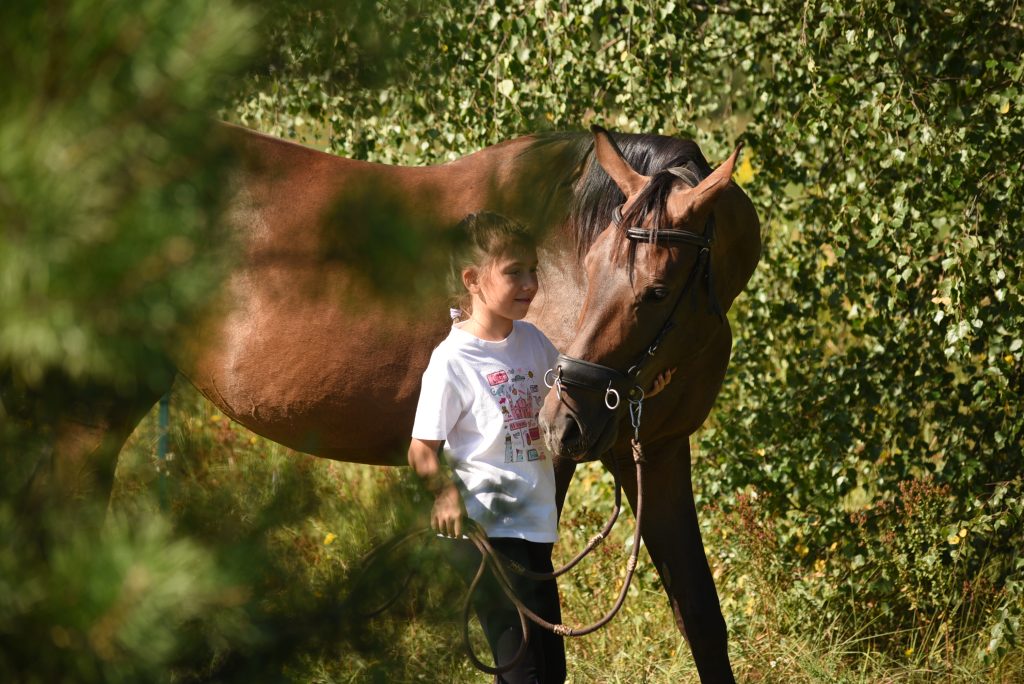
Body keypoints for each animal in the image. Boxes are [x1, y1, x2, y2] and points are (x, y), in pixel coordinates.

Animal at [22, 122, 761, 684]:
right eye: (592, 264)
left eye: (656, 290)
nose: (564, 420)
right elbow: (529, 631)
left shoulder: (656, 453)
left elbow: (701, 617)